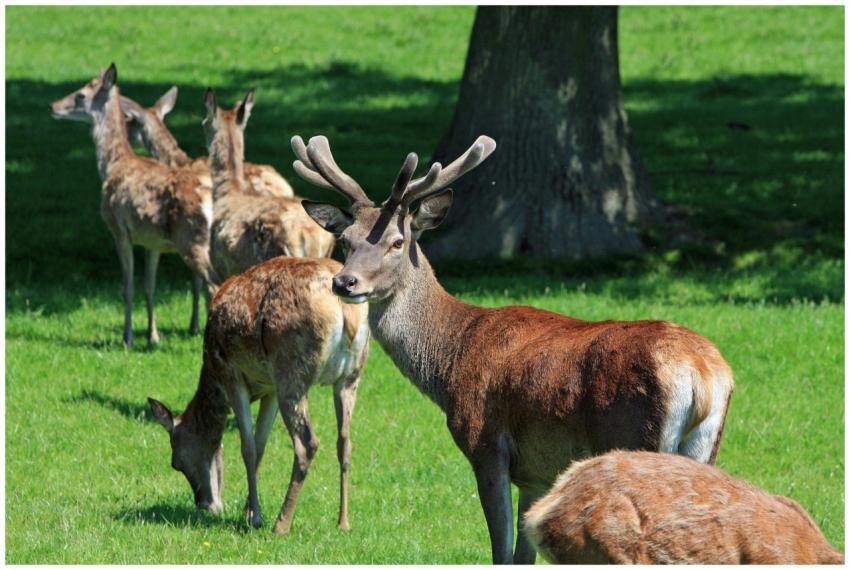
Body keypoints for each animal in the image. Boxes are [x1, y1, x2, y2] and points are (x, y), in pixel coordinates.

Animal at [49, 63, 219, 347]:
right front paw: (152, 337)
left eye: (81, 95)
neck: (114, 164)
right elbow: (149, 285)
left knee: (212, 284)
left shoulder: (119, 230)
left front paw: (127, 337)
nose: (52, 106)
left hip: (192, 239)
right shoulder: (153, 241)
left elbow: (127, 286)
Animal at [148, 256, 370, 534]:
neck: (211, 373)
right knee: (345, 441)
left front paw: (255, 517)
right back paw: (343, 522)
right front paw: (249, 509)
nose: (204, 503)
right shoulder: (270, 388)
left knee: (307, 443)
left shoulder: (232, 374)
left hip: (291, 372)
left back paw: (281, 524)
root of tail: (346, 312)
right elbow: (261, 444)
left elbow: (249, 447)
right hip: (350, 376)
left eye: (175, 462)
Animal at [291, 134, 735, 564]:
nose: (344, 282)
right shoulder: (536, 472)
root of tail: (702, 375)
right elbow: (524, 553)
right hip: (704, 447)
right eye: (345, 239)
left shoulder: (486, 443)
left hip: (634, 436)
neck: (449, 362)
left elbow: (501, 551)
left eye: (398, 241)